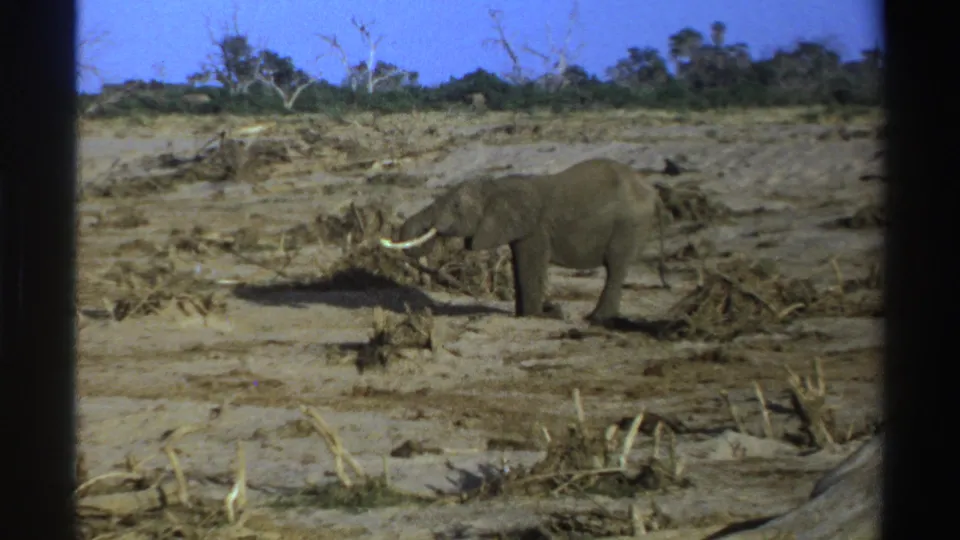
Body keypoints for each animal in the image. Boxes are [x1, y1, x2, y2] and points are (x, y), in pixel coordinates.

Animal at [380, 158, 669, 324]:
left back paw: (596, 319)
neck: (496, 186)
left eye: (456, 206)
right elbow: (520, 265)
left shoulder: (536, 228)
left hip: (629, 225)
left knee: (616, 267)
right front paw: (527, 314)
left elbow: (531, 265)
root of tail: (654, 193)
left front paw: (540, 315)